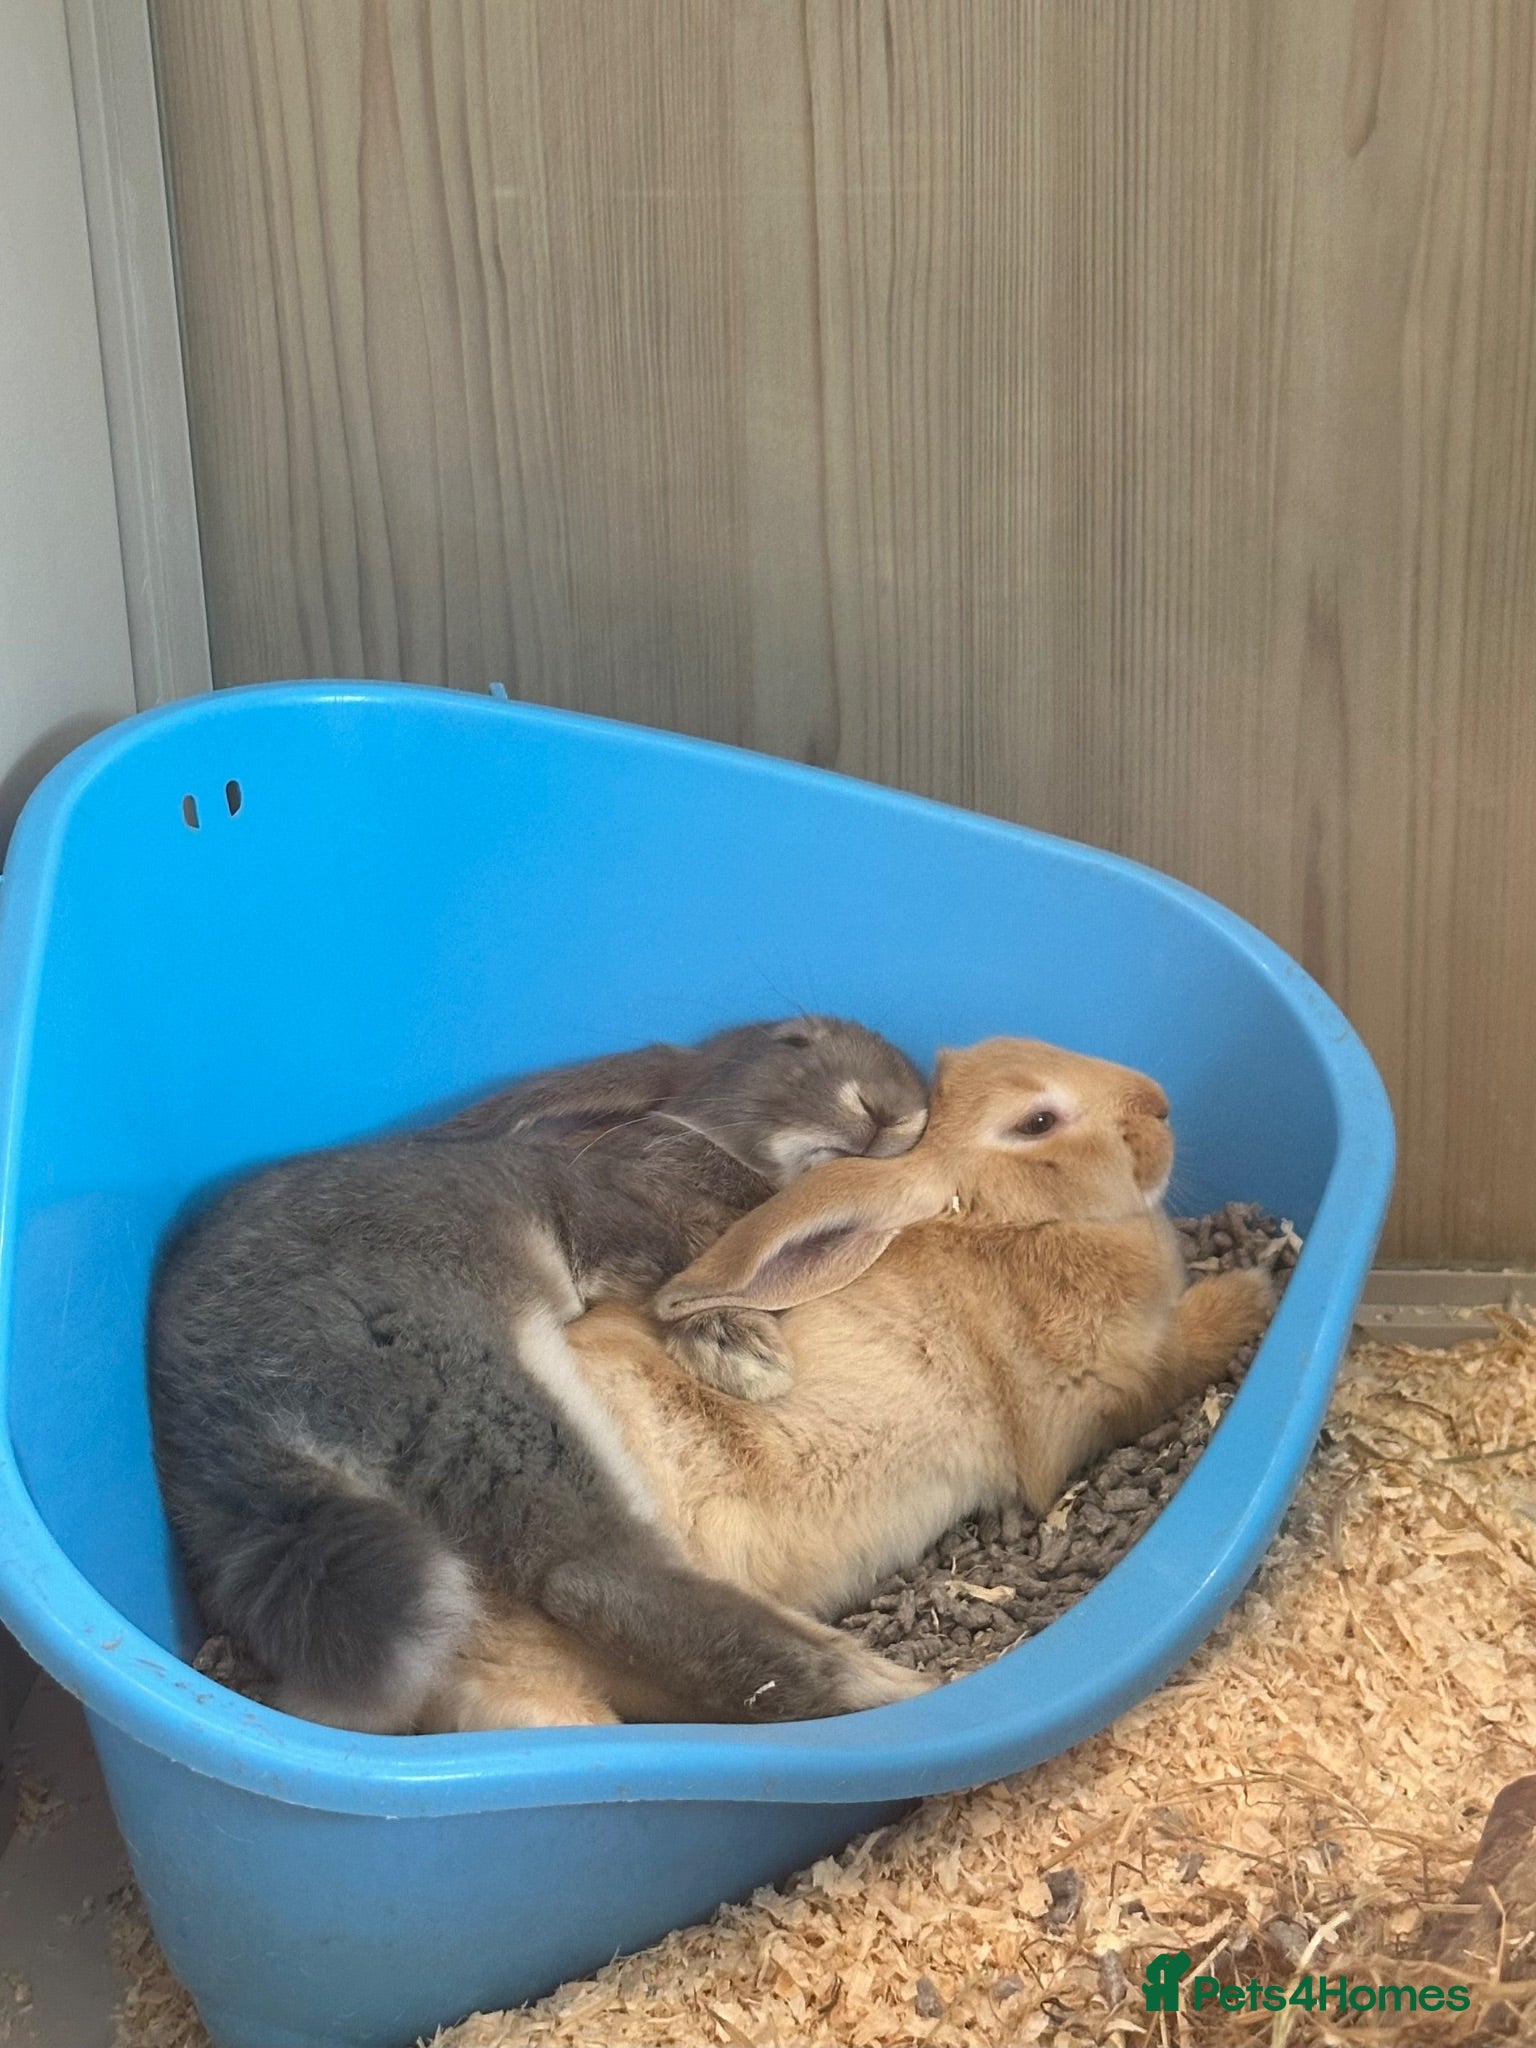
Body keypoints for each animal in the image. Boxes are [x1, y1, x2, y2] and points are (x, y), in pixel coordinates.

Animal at [150, 1015, 929, 1735]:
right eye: (793, 1040)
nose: (893, 1111)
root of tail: (235, 1428)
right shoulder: (621, 1219)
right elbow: (682, 1277)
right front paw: (747, 1353)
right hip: (493, 1402)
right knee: (586, 1576)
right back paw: (886, 1685)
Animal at [424, 1038, 1275, 1731]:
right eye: (1037, 1122)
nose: (1158, 1102)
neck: (1000, 1220)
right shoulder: (1101, 1395)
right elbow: (1176, 1359)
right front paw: (1251, 1295)